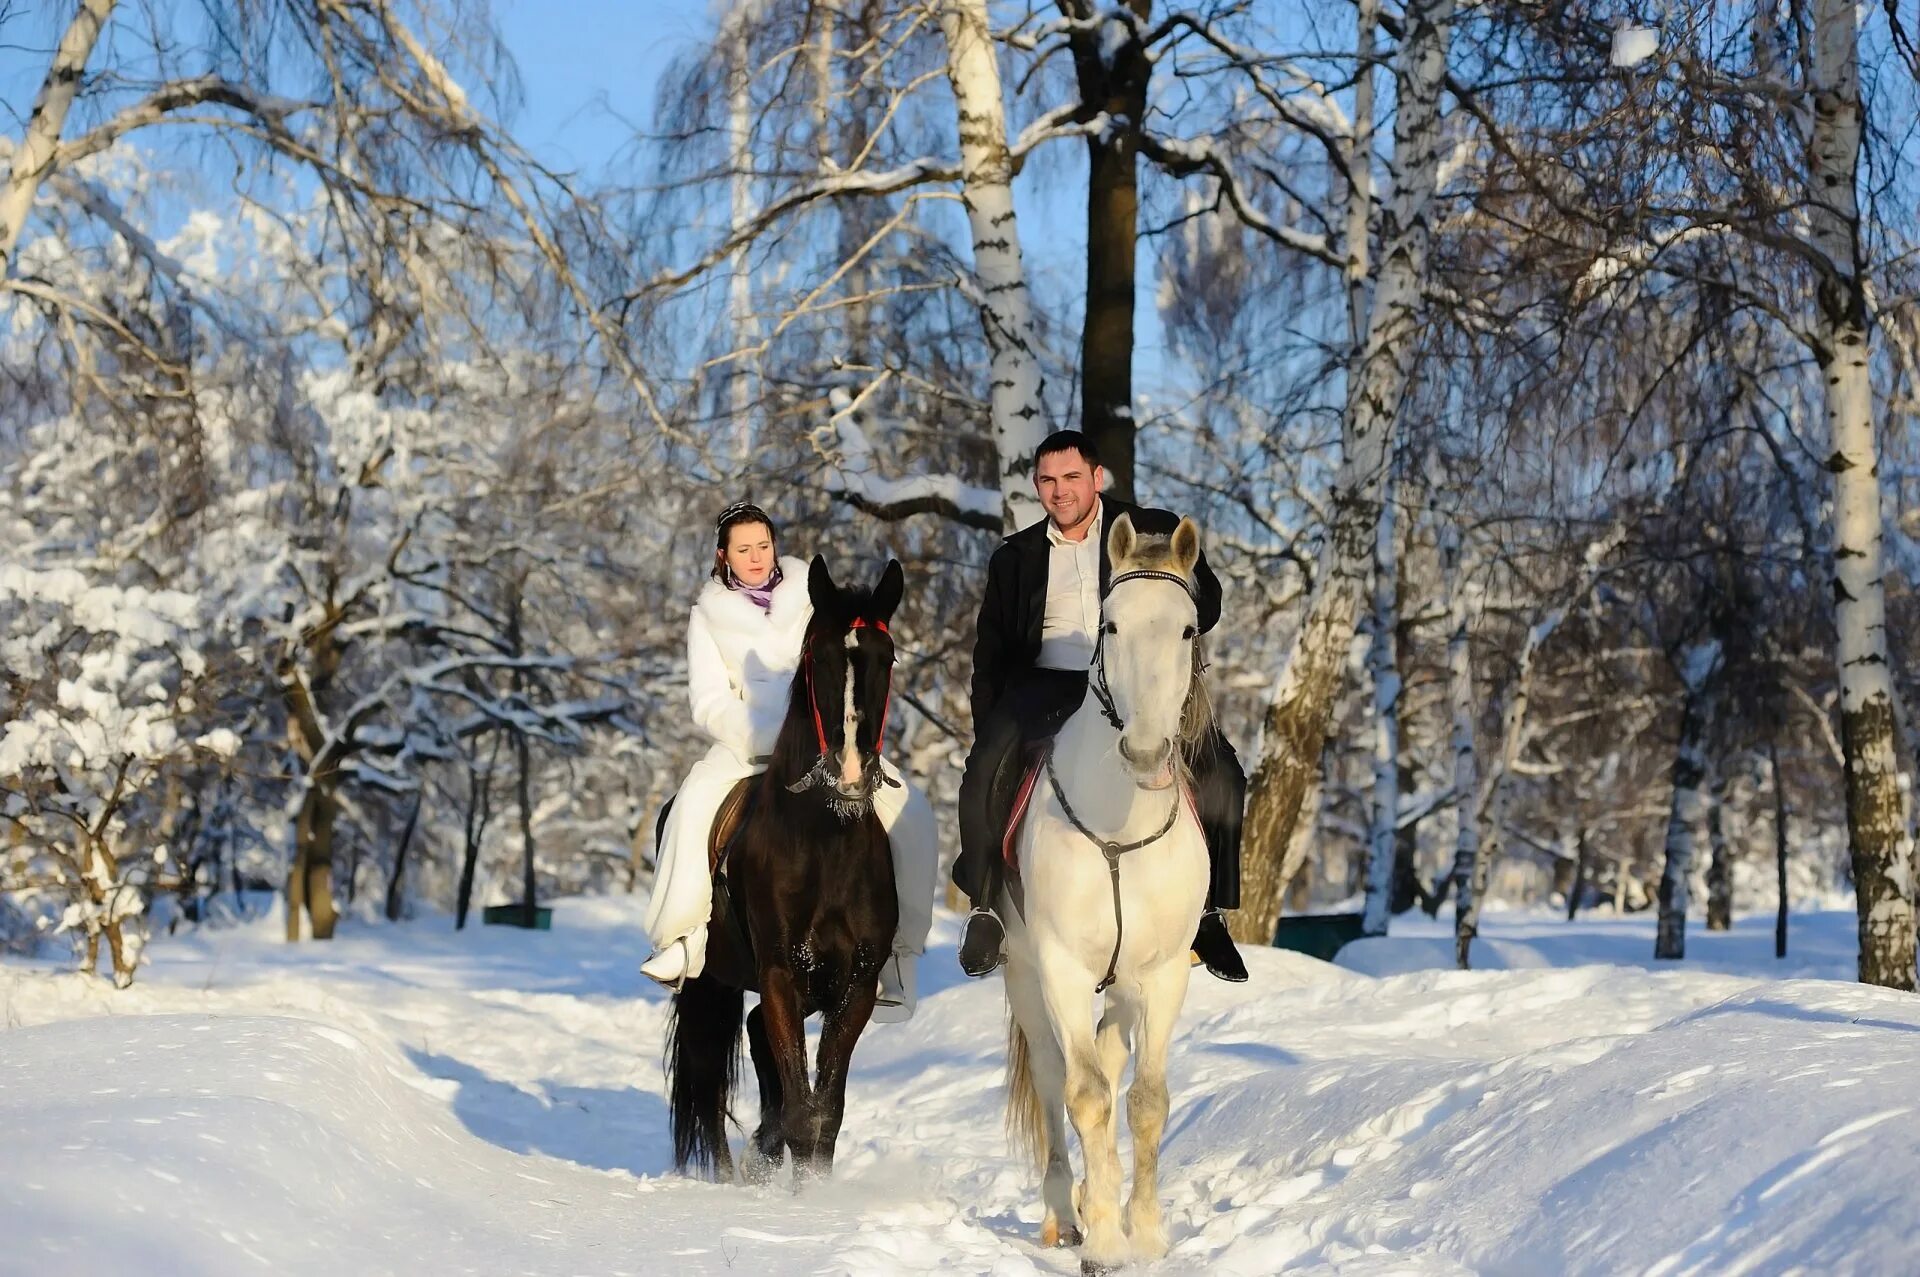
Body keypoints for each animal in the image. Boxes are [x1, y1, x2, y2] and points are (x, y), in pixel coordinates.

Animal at [668, 556, 906, 1182]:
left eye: (887, 657)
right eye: (818, 657)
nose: (850, 771)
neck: (825, 847)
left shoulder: (856, 986)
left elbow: (826, 1113)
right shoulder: (779, 975)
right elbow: (802, 1111)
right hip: (709, 982)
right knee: (709, 1074)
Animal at [998, 514, 1205, 1267]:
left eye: (1187, 629)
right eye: (1110, 626)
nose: (1144, 753)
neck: (1121, 821)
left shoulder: (1166, 972)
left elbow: (1146, 1100)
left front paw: (1143, 1231)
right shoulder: (1061, 966)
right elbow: (1083, 1094)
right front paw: (1106, 1244)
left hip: (1120, 988)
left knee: (1112, 1069)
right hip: (1025, 975)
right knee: (1055, 1077)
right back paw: (1067, 1213)